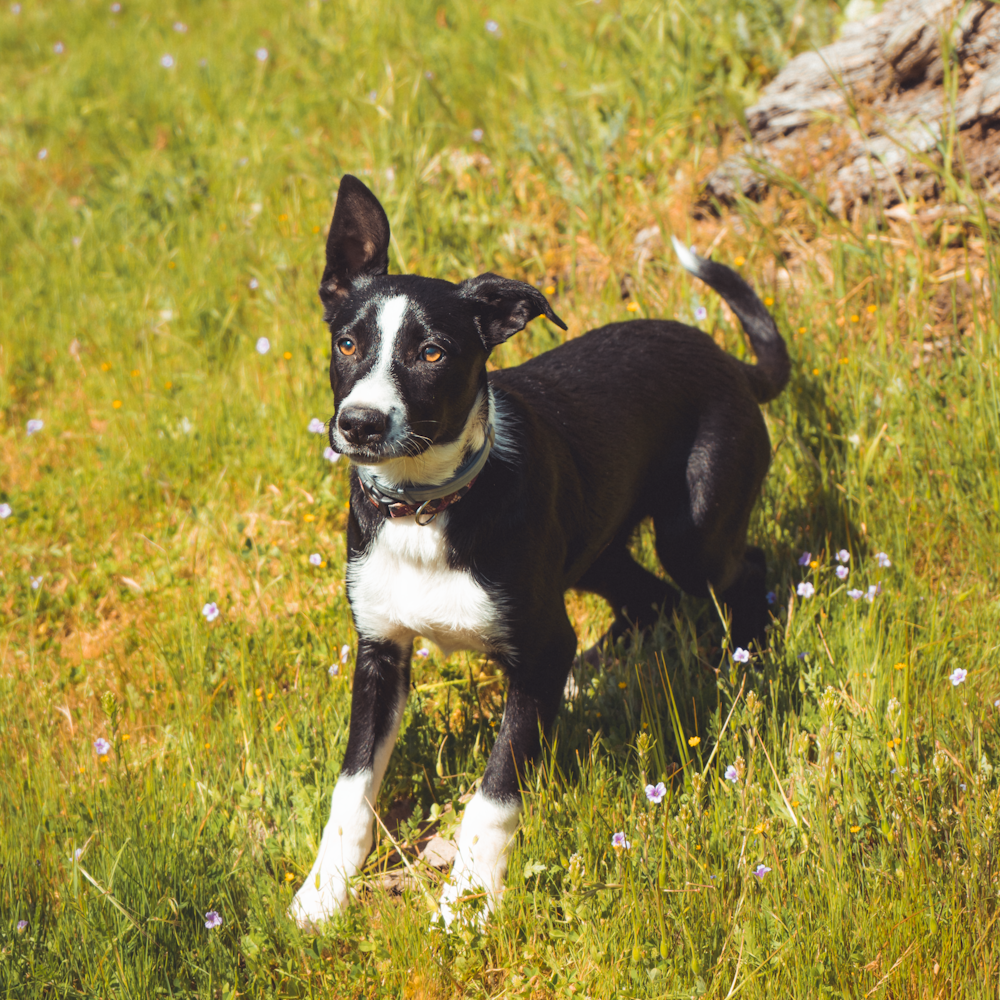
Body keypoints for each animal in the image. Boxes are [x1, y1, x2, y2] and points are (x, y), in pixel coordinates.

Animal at [290, 176, 788, 924]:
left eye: (432, 354)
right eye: (347, 343)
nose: (360, 424)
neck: (426, 509)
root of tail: (727, 360)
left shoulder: (538, 645)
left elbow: (495, 792)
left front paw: (467, 901)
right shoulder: (380, 649)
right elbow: (351, 787)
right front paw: (322, 894)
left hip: (693, 531)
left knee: (740, 571)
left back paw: (746, 663)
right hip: (592, 546)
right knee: (648, 598)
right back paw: (595, 672)